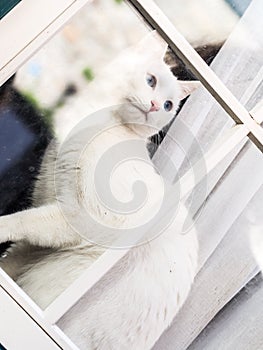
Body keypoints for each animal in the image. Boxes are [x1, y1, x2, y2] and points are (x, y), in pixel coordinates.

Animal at [0, 31, 199, 348]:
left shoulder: (70, 218)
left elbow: (20, 222)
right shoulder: (43, 219)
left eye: (169, 105)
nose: (156, 106)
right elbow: (15, 253)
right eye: (151, 81)